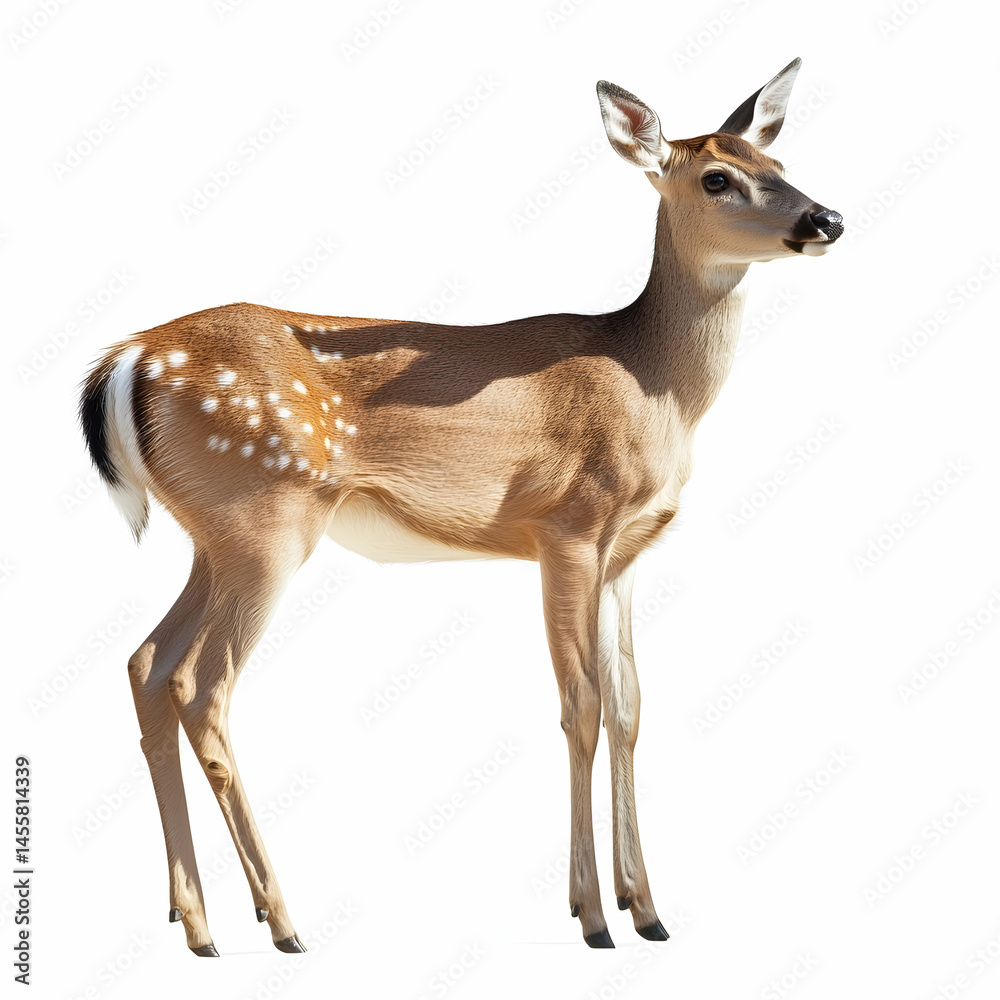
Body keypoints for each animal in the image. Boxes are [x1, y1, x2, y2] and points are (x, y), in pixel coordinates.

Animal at [79, 57, 842, 956]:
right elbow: (580, 706)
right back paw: (284, 923)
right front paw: (592, 917)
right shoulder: (568, 526)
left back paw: (198, 923)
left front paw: (647, 909)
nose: (827, 218)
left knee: (146, 662)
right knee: (201, 684)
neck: (655, 385)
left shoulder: (626, 554)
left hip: (216, 533)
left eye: (780, 164)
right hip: (266, 517)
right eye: (718, 178)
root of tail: (125, 358)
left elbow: (629, 707)